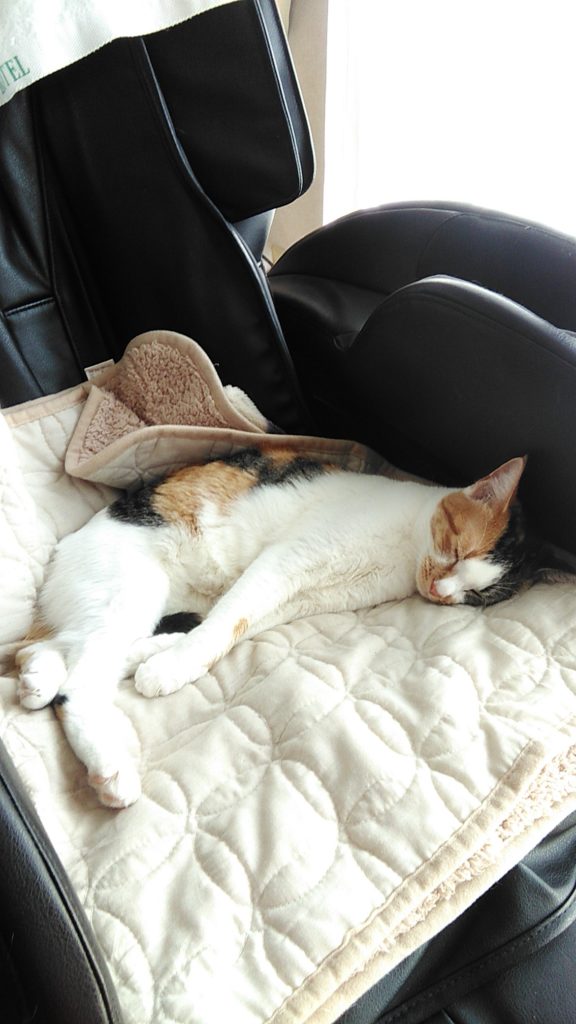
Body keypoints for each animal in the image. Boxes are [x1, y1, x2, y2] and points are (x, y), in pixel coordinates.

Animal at [16, 447, 538, 808]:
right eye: (457, 552)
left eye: (474, 597)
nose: (440, 591)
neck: (402, 552)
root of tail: (63, 556)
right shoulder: (286, 559)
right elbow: (228, 620)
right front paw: (170, 669)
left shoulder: (305, 596)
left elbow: (234, 626)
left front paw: (164, 660)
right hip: (131, 590)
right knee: (79, 681)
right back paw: (109, 768)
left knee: (53, 650)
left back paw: (43, 676)